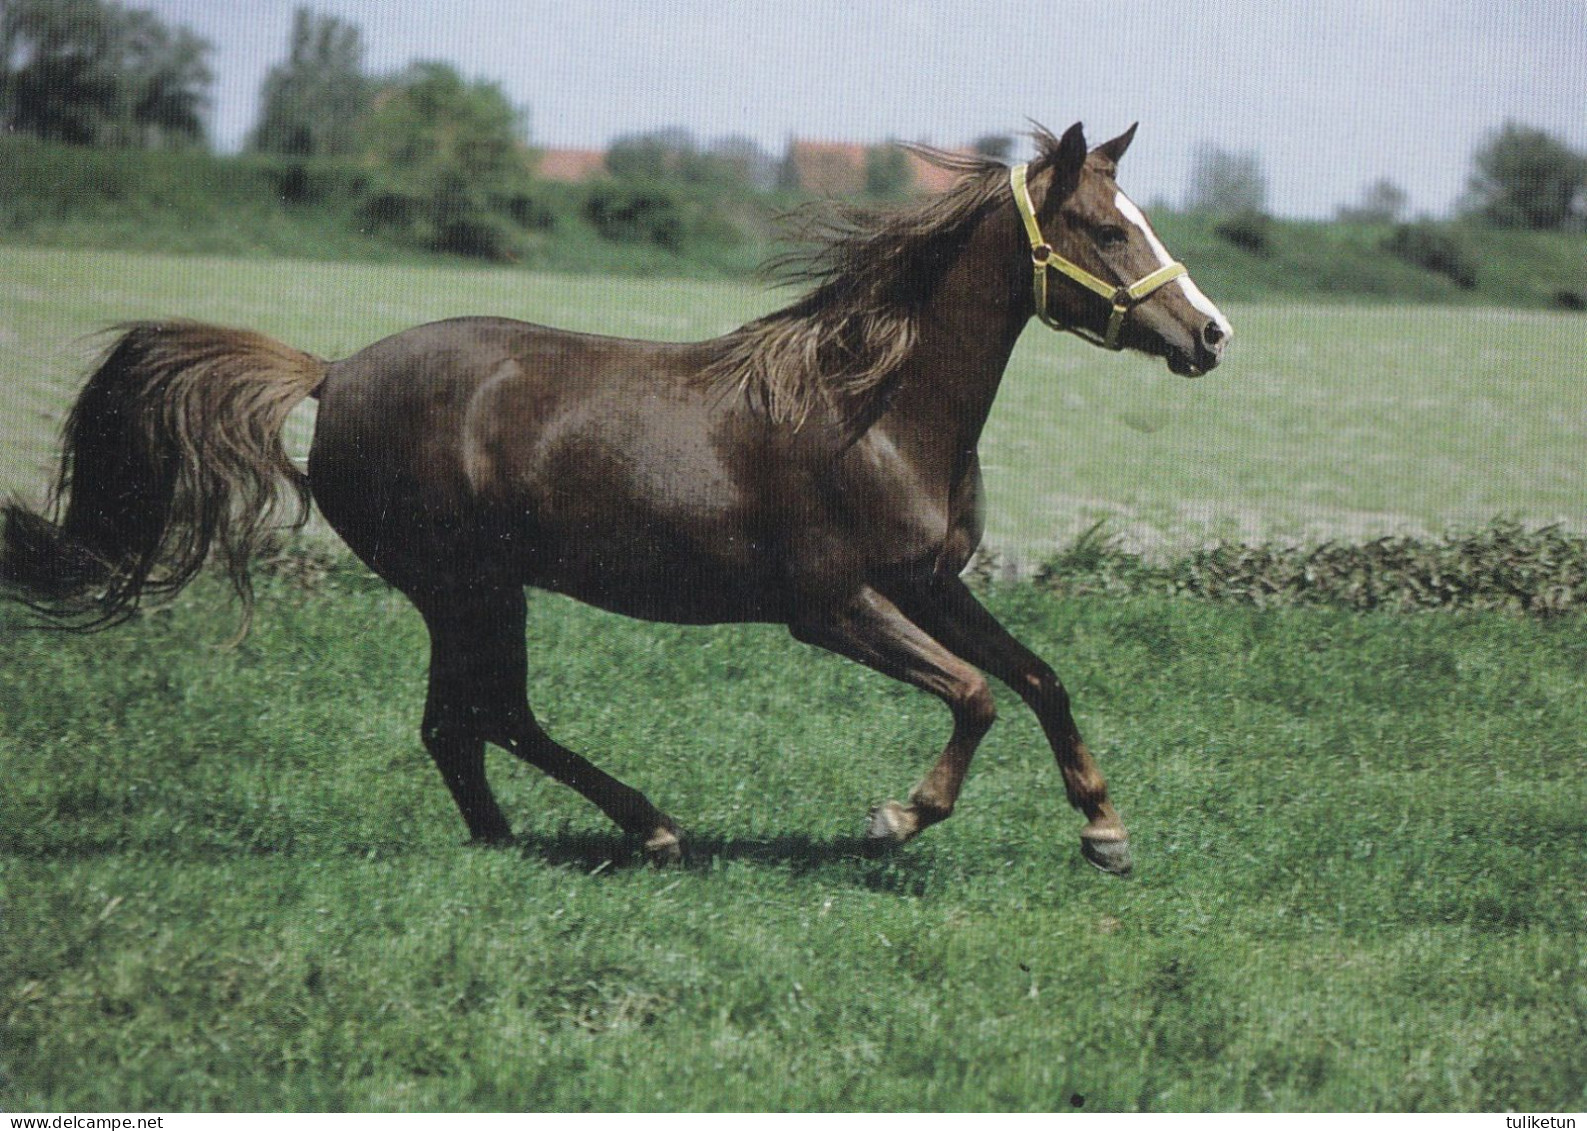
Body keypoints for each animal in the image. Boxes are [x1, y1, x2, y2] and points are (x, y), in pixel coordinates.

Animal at [3, 121, 1225, 875]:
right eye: (1107, 229)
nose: (1209, 334)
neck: (872, 411)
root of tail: (331, 371)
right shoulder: (831, 606)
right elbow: (974, 694)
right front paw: (896, 817)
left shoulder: (926, 583)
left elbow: (1038, 676)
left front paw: (1106, 830)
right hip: (468, 583)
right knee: (488, 714)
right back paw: (647, 830)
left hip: (471, 590)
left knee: (457, 723)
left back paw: (516, 839)